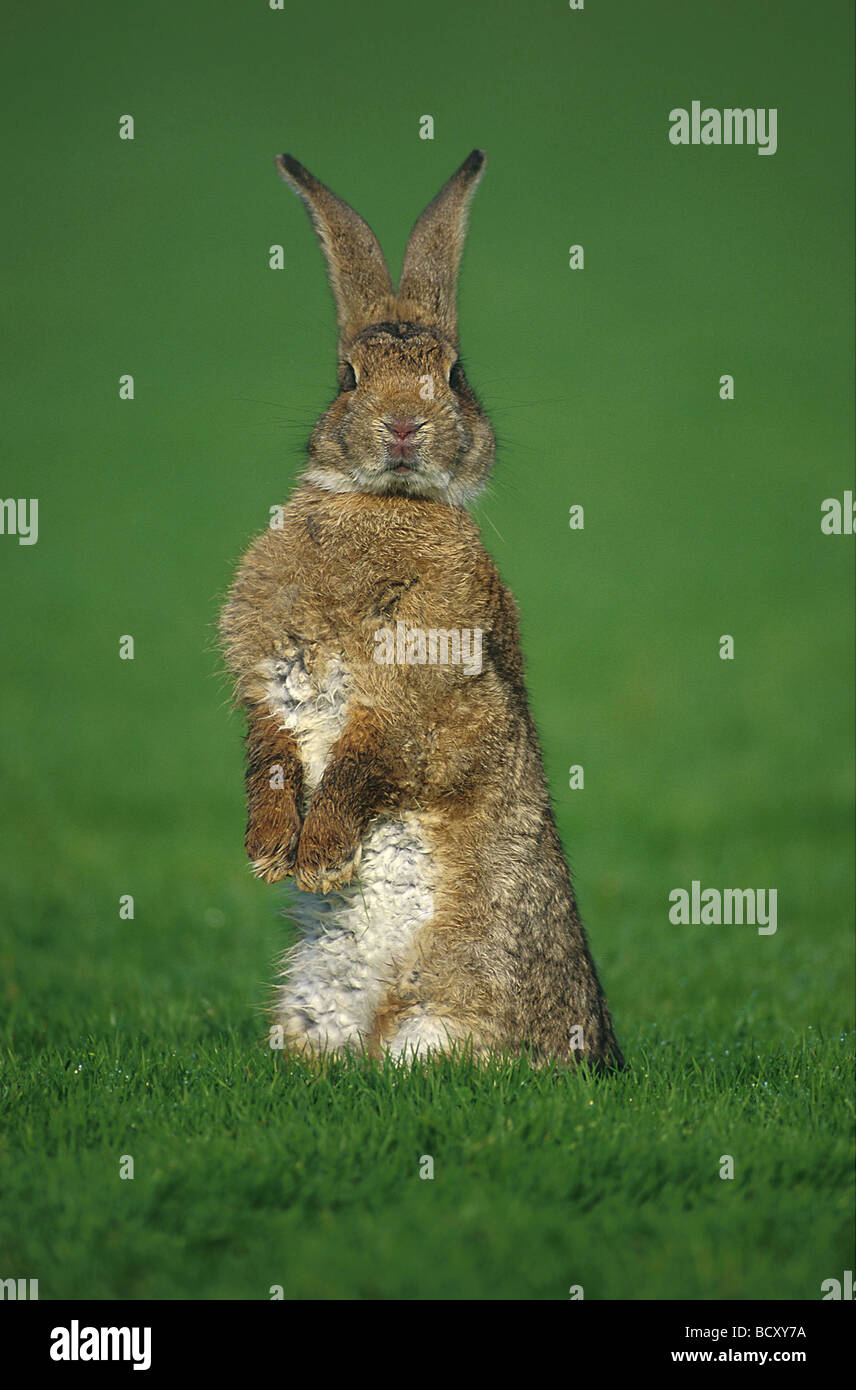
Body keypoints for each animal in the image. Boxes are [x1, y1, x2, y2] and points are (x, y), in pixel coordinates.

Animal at [219, 149, 624, 1069]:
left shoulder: (426, 708)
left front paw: (321, 861)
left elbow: (367, 765)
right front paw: (269, 854)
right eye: (347, 377)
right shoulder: (272, 688)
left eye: (455, 376)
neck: (386, 505)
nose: (403, 424)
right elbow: (271, 759)